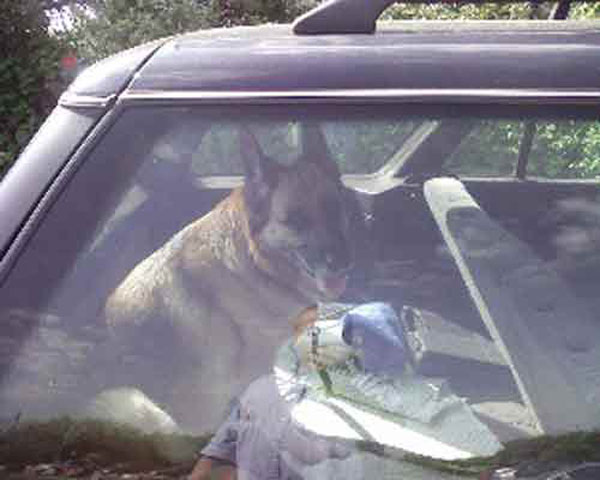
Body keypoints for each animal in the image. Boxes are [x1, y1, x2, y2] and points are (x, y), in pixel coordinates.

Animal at [105, 125, 358, 434]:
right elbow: (276, 412)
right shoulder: (257, 370)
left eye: (334, 207)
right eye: (294, 221)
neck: (257, 264)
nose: (344, 262)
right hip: (148, 407)